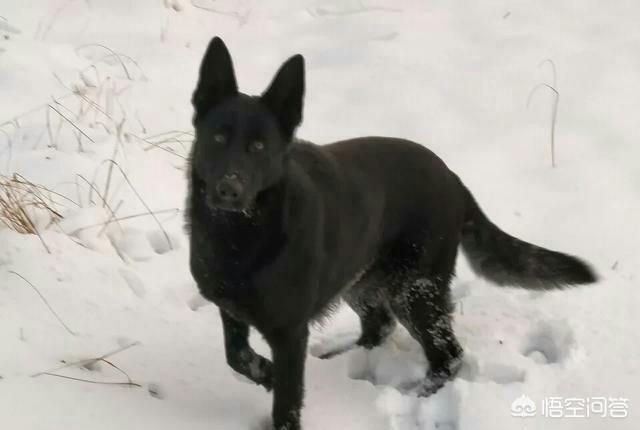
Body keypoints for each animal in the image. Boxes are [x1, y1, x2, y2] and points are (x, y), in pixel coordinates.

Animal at [185, 37, 596, 430]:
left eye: (258, 146)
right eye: (218, 138)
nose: (228, 190)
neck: (242, 234)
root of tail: (453, 178)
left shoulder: (289, 332)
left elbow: (286, 399)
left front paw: (278, 394)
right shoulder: (231, 309)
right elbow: (237, 356)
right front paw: (266, 374)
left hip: (415, 290)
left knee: (448, 353)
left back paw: (421, 395)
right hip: (361, 281)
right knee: (378, 327)